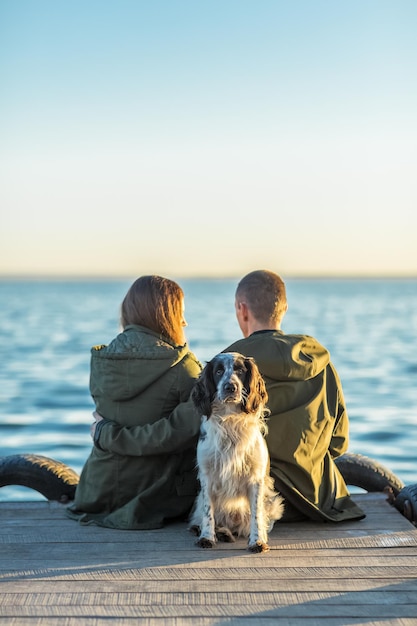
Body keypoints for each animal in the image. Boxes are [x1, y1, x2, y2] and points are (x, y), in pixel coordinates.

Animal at [188, 352, 282, 552]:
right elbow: (208, 512)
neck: (229, 420)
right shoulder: (207, 476)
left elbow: (256, 516)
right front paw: (206, 537)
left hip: (272, 502)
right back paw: (220, 532)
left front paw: (257, 541)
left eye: (240, 370)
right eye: (218, 371)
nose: (230, 387)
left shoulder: (256, 479)